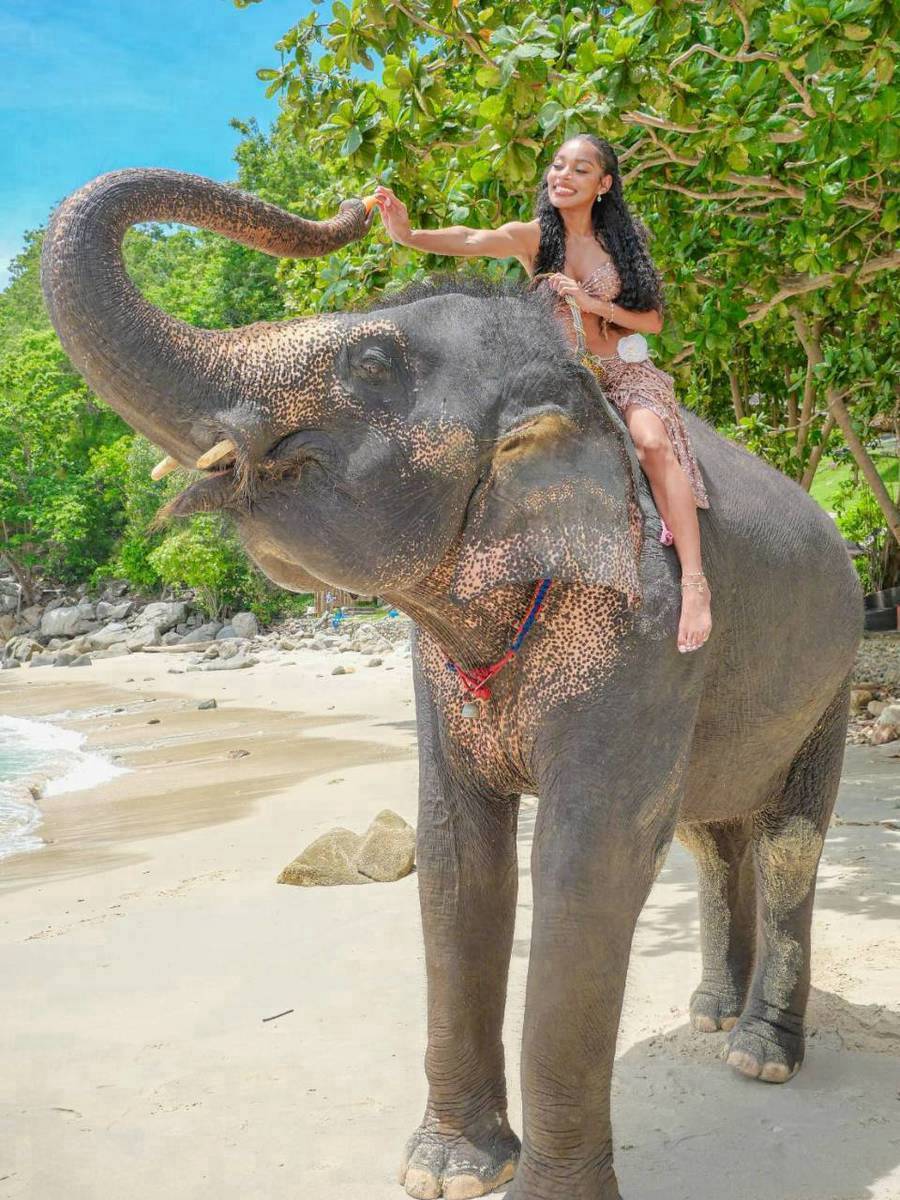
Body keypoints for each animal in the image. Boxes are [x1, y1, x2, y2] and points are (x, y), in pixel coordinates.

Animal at [41, 169, 863, 1200]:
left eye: (369, 360)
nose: (359, 204)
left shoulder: (652, 637)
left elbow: (586, 861)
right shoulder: (441, 672)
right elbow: (455, 857)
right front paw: (450, 1172)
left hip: (834, 672)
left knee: (787, 842)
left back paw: (759, 1054)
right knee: (710, 839)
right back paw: (712, 1013)